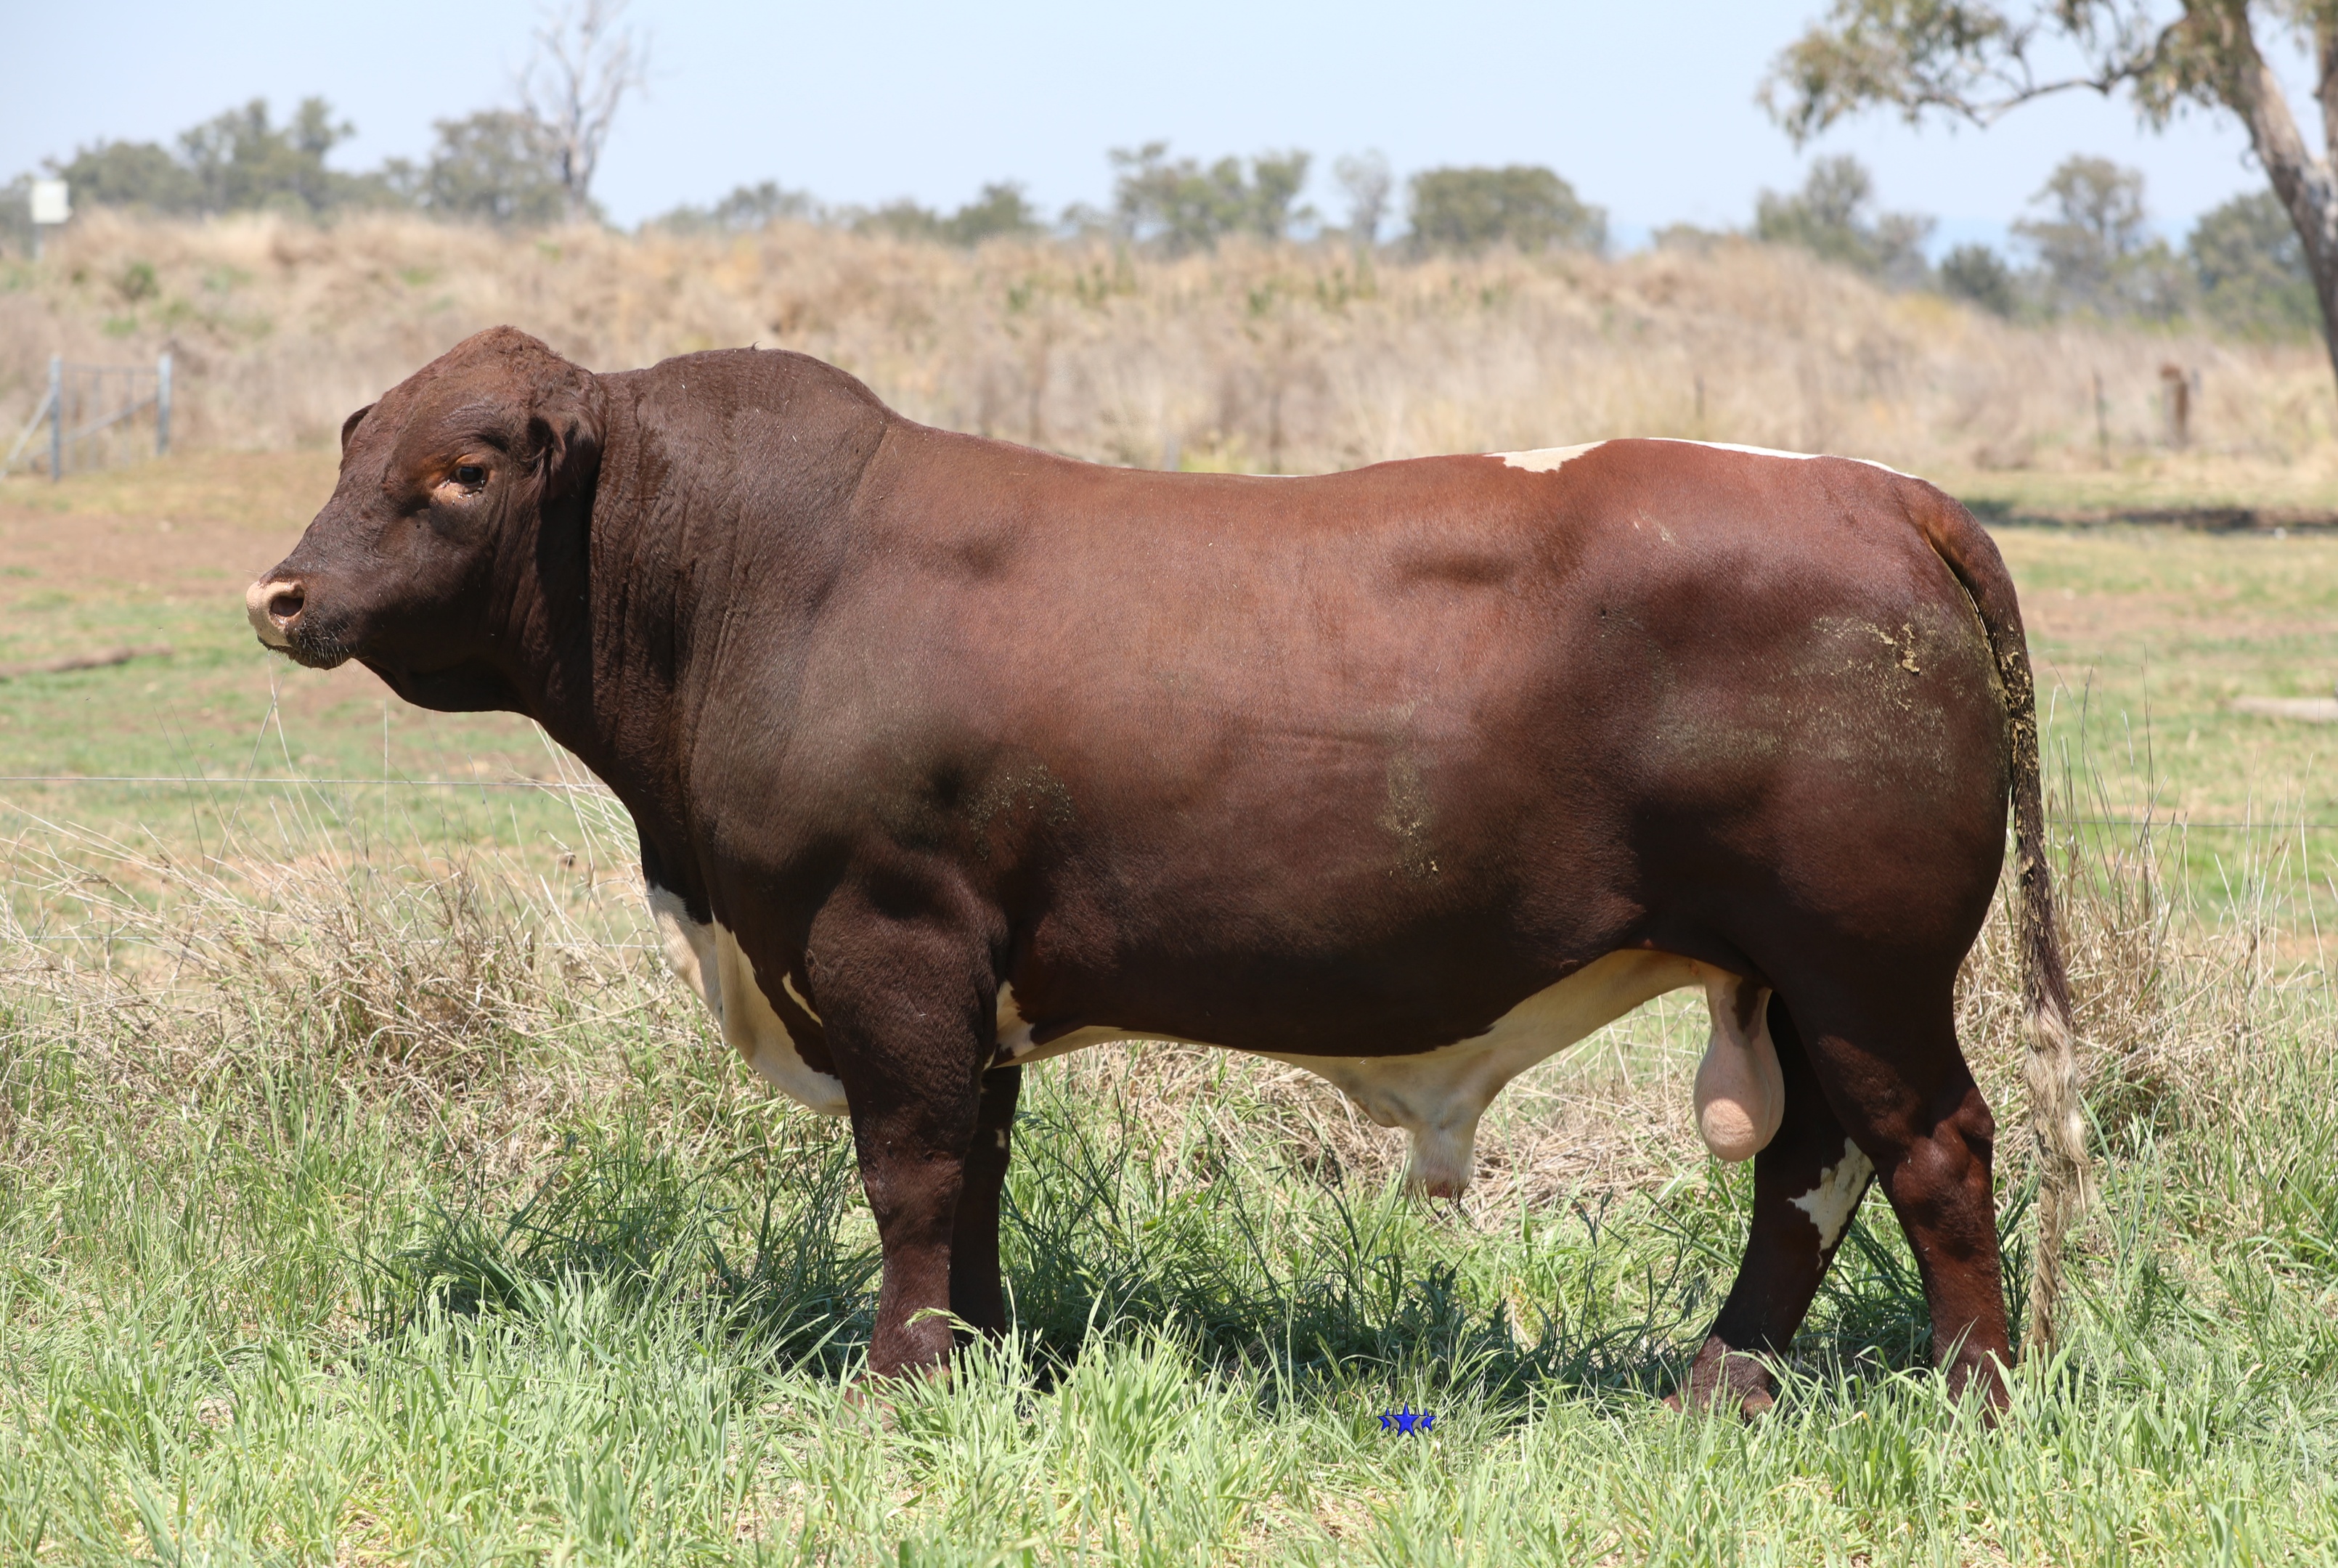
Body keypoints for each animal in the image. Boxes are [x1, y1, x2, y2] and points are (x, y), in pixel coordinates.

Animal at [246, 326, 2084, 1414]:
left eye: (462, 470)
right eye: (349, 444)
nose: (281, 593)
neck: (745, 582)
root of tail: (1862, 485)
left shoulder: (883, 936)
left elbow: (910, 1171)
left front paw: (897, 1380)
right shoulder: (964, 969)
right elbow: (975, 1175)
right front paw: (978, 1359)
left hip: (1865, 960)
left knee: (1932, 1149)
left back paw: (1971, 1399)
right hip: (1797, 974)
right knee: (1810, 1172)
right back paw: (1722, 1381)